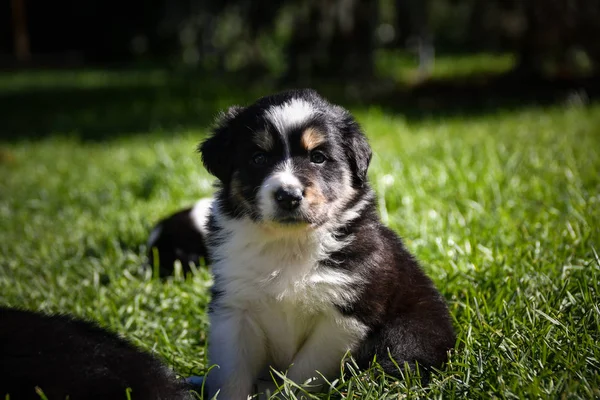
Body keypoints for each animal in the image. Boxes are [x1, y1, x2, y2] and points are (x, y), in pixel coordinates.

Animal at [197, 89, 454, 398]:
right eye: (258, 158)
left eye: (318, 157)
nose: (288, 196)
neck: (289, 243)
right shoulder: (234, 307)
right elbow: (232, 375)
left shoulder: (344, 315)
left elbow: (304, 372)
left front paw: (286, 393)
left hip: (411, 329)